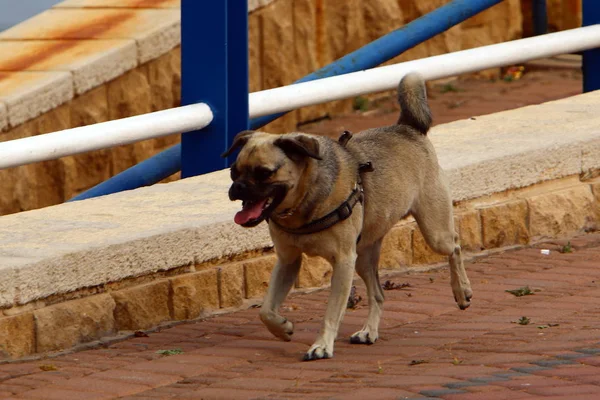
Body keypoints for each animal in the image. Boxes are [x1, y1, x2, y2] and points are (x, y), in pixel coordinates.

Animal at [223, 72, 472, 362]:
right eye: (233, 172)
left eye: (264, 173)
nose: (238, 187)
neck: (305, 203)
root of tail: (407, 128)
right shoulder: (288, 261)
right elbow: (266, 310)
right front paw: (282, 328)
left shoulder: (342, 262)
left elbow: (331, 313)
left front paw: (321, 346)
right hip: (363, 257)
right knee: (378, 294)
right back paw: (369, 331)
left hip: (434, 234)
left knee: (455, 246)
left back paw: (462, 291)